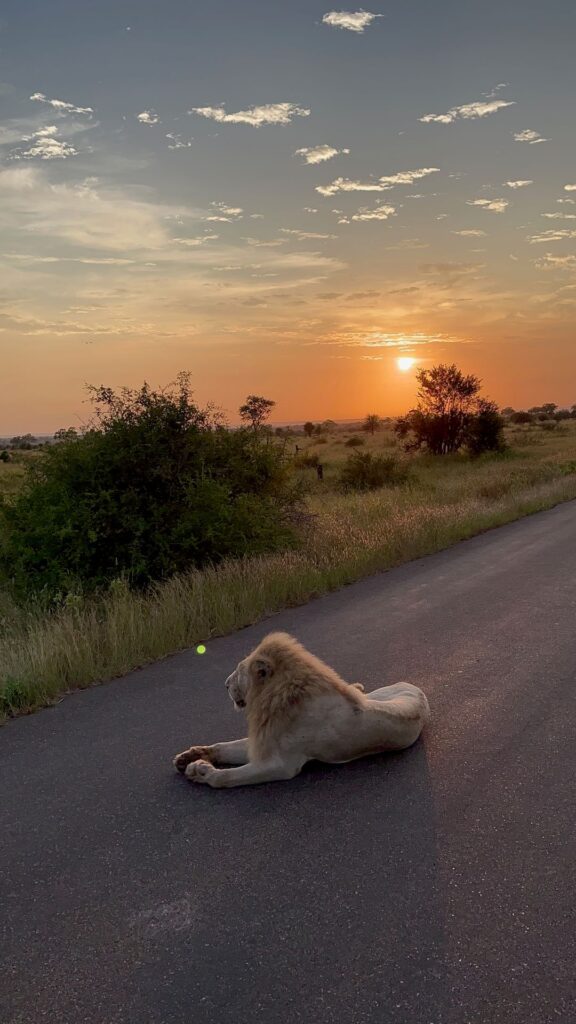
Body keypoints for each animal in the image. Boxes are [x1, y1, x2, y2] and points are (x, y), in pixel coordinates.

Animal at [172, 626, 428, 786]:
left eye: (239, 672)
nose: (225, 685)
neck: (274, 698)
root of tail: (414, 686)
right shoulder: (263, 741)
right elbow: (225, 747)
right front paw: (189, 756)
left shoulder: (281, 765)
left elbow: (228, 778)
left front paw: (201, 771)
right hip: (376, 694)